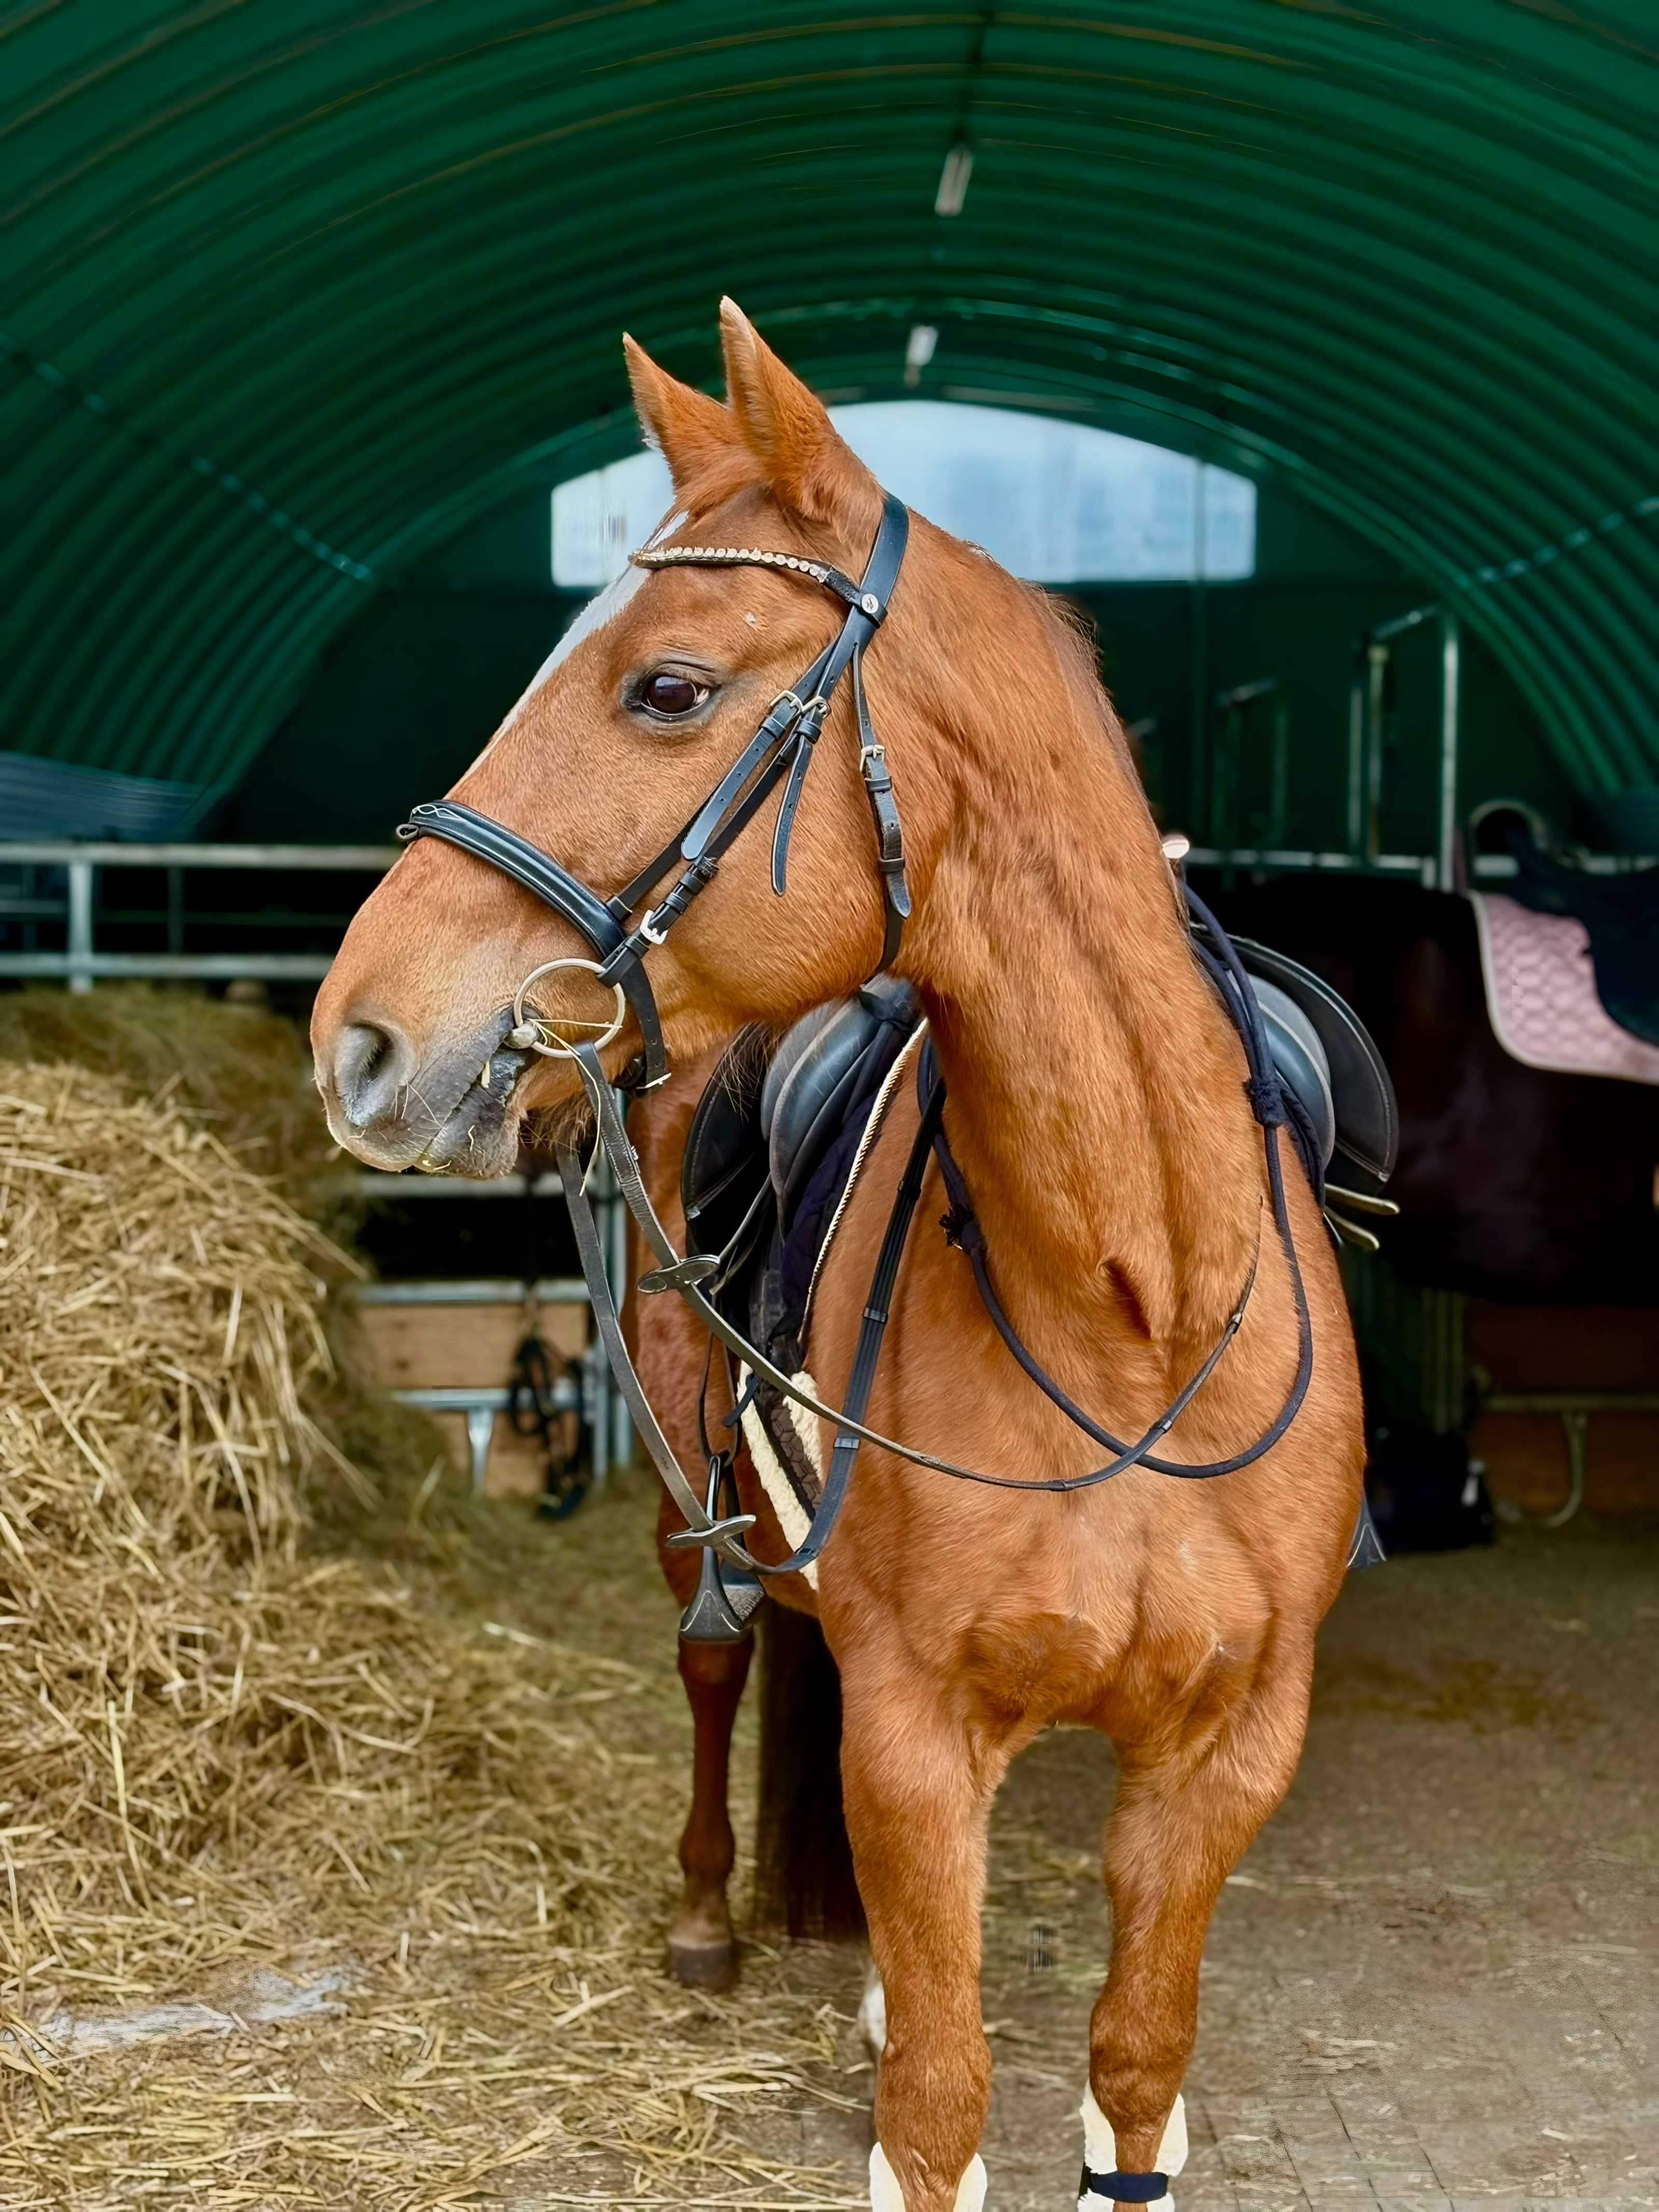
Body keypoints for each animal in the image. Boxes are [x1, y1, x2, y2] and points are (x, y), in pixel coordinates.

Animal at [312, 299, 1365, 2212]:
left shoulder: (1230, 1748)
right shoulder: (914, 1729)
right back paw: (710, 1916)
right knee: (720, 1668)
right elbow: (938, 2108)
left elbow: (1133, 2069)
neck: (1135, 1317)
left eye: (666, 687)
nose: (358, 1036)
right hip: (691, 1513)